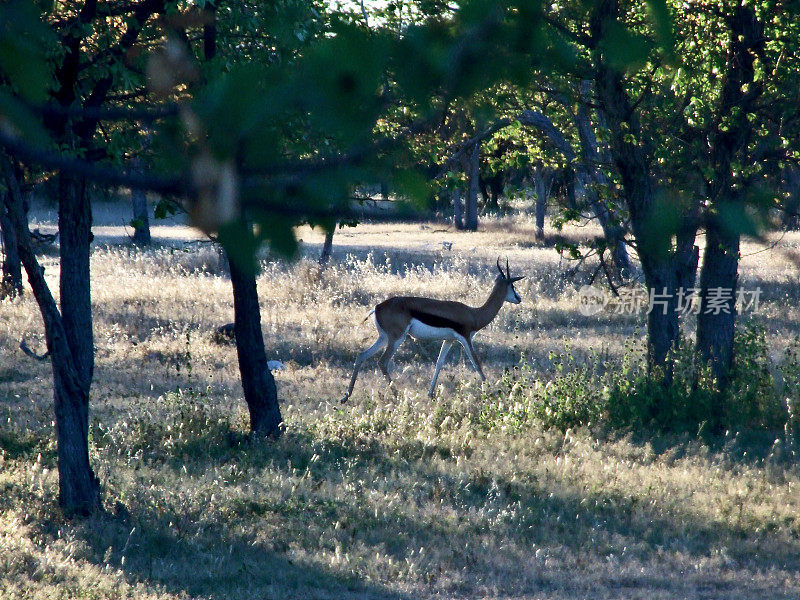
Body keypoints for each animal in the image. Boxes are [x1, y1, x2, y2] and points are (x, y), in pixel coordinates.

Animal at [342, 256, 524, 400]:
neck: (473, 313)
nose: (519, 298)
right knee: (382, 362)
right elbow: (476, 364)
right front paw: (493, 393)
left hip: (384, 338)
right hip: (396, 338)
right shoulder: (465, 338)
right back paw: (397, 395)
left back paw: (346, 396)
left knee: (361, 355)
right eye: (513, 286)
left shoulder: (449, 340)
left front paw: (430, 394)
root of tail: (378, 307)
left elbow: (439, 363)